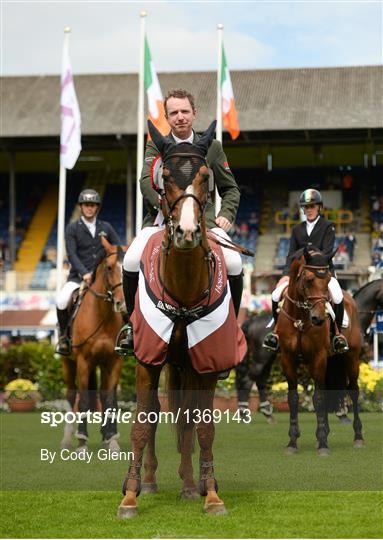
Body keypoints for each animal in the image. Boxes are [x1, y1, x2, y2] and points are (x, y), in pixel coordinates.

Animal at [60, 238, 125, 454]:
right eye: (109, 267)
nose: (122, 303)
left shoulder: (114, 361)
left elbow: (110, 399)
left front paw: (112, 440)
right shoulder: (83, 361)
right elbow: (84, 401)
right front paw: (81, 442)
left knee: (103, 396)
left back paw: (106, 436)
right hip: (68, 364)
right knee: (72, 396)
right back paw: (67, 440)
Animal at [117, 121, 246, 520]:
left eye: (206, 177)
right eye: (165, 177)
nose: (187, 232)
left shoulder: (206, 361)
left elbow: (203, 426)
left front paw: (211, 494)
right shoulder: (147, 358)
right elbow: (143, 422)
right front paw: (130, 495)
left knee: (186, 418)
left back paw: (192, 484)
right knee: (160, 413)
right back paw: (151, 481)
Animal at [278, 249, 364, 456]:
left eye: (327, 280)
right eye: (309, 280)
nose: (318, 318)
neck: (301, 319)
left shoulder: (318, 356)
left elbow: (318, 398)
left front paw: (324, 444)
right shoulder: (287, 358)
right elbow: (293, 398)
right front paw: (292, 442)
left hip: (351, 358)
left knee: (354, 391)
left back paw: (358, 437)